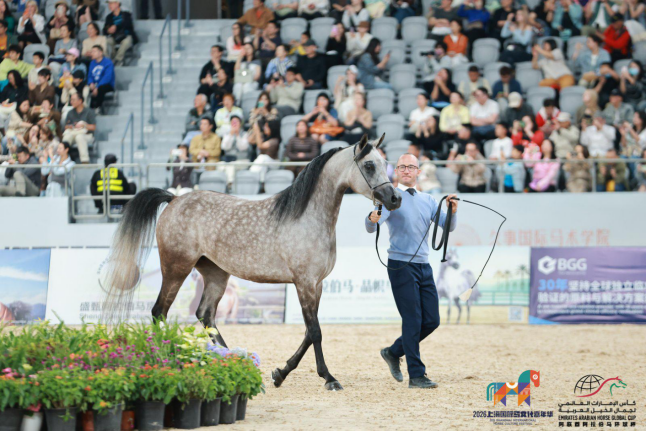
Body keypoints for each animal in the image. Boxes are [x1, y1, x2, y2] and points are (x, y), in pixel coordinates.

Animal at [101, 134, 401, 391]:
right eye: (369, 165)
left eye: (385, 163)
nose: (395, 198)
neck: (308, 217)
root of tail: (174, 198)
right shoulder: (304, 283)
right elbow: (315, 332)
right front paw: (328, 377)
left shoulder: (316, 285)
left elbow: (308, 331)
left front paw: (280, 374)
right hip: (176, 269)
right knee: (159, 312)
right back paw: (169, 359)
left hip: (215, 274)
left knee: (205, 315)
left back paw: (231, 359)